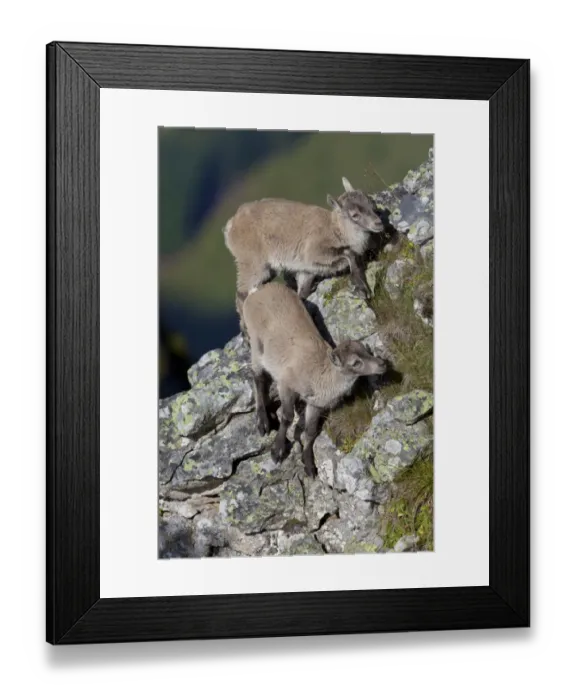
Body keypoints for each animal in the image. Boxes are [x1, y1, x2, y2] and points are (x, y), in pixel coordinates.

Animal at [224, 177, 384, 331]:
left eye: (371, 203)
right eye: (354, 215)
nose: (378, 223)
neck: (335, 230)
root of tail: (231, 226)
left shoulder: (306, 271)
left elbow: (301, 293)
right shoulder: (315, 252)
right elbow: (349, 255)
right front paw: (362, 288)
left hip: (269, 270)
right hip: (252, 263)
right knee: (242, 293)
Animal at [243, 283, 388, 477]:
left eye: (366, 351)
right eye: (355, 363)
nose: (382, 364)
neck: (321, 375)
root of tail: (257, 291)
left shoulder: (316, 404)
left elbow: (310, 431)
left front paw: (309, 465)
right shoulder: (286, 383)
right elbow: (287, 417)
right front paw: (277, 451)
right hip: (256, 343)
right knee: (258, 377)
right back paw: (263, 422)